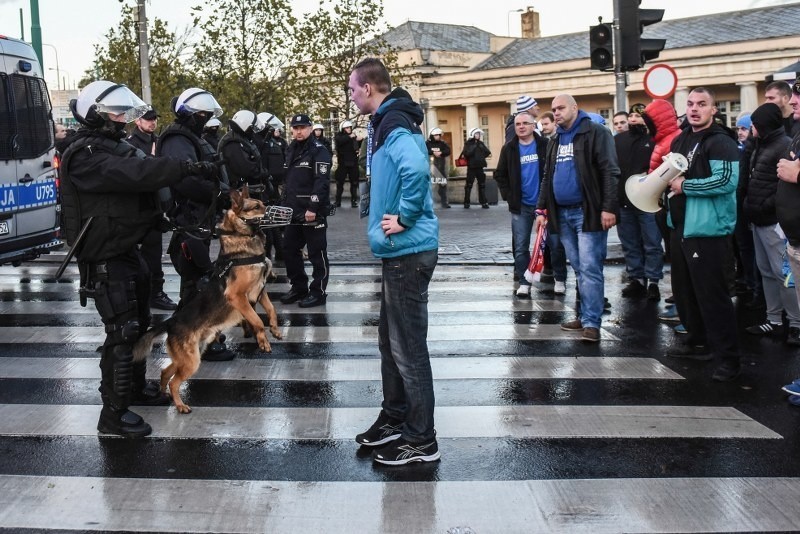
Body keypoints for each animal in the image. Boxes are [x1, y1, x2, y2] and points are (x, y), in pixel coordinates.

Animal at [137, 187, 284, 414]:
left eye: (264, 204)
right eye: (256, 207)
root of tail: (171, 322)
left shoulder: (261, 291)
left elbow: (271, 311)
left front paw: (275, 330)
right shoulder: (238, 297)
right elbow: (257, 320)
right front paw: (263, 340)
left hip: (190, 355)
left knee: (165, 372)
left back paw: (165, 396)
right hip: (191, 361)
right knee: (174, 381)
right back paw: (180, 405)